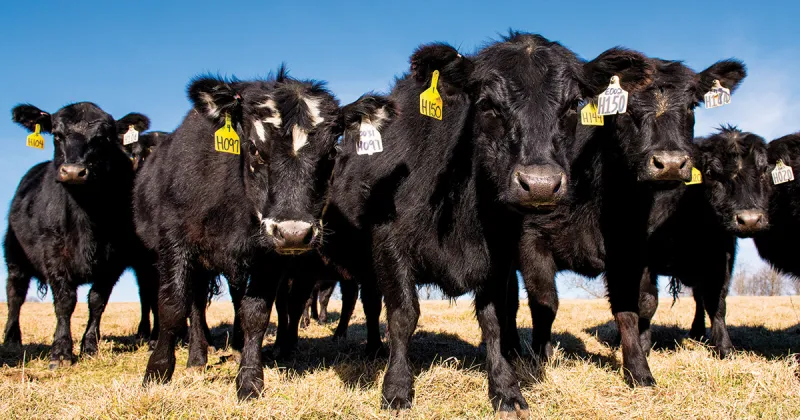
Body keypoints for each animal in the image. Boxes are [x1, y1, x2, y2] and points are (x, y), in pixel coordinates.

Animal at [3, 102, 153, 368]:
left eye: (102, 138)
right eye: (57, 135)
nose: (73, 172)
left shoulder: (113, 260)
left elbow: (97, 301)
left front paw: (90, 346)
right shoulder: (54, 254)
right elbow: (65, 302)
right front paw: (61, 352)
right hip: (14, 256)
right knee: (15, 295)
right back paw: (12, 339)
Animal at [308, 33, 657, 417]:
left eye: (571, 105)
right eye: (488, 104)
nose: (540, 184)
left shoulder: (501, 255)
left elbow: (495, 319)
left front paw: (506, 389)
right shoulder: (390, 245)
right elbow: (403, 315)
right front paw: (397, 389)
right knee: (370, 304)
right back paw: (373, 350)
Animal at [509, 53, 747, 386]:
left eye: (691, 106)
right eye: (626, 108)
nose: (670, 163)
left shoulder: (629, 249)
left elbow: (635, 306)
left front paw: (639, 367)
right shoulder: (532, 242)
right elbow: (545, 303)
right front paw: (538, 361)